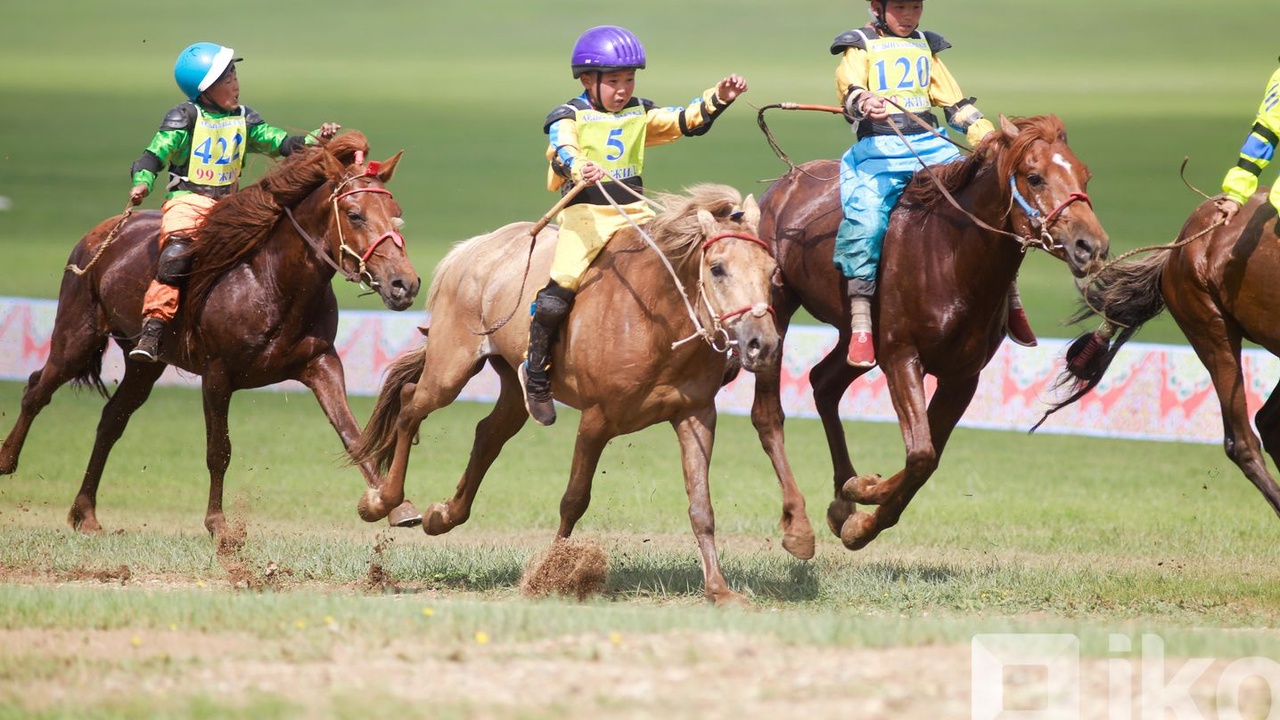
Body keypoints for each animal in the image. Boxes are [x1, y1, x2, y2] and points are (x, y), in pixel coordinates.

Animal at [0, 130, 422, 532]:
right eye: (354, 214)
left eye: (397, 214)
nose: (404, 284)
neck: (270, 282)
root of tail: (101, 233)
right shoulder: (218, 375)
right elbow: (219, 450)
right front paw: (218, 523)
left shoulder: (321, 364)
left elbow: (354, 435)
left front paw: (396, 506)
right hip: (76, 338)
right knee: (37, 391)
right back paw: (7, 461)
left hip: (144, 365)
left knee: (111, 419)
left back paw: (84, 512)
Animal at [348, 183, 778, 599]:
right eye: (717, 268)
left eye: (773, 270)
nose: (763, 343)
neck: (656, 320)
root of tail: (475, 248)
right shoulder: (597, 419)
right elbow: (574, 499)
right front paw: (550, 574)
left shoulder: (695, 415)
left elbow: (701, 507)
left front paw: (718, 589)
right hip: (450, 371)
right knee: (410, 405)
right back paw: (382, 500)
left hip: (513, 386)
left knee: (488, 434)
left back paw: (444, 515)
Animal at [747, 114, 1111, 548]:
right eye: (1035, 177)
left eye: (1085, 175)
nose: (1091, 246)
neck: (949, 253)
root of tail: (783, 185)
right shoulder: (902, 357)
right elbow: (921, 453)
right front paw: (864, 490)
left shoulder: (962, 376)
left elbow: (927, 459)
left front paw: (858, 511)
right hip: (778, 310)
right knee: (768, 414)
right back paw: (799, 524)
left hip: (858, 340)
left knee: (824, 383)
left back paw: (842, 502)